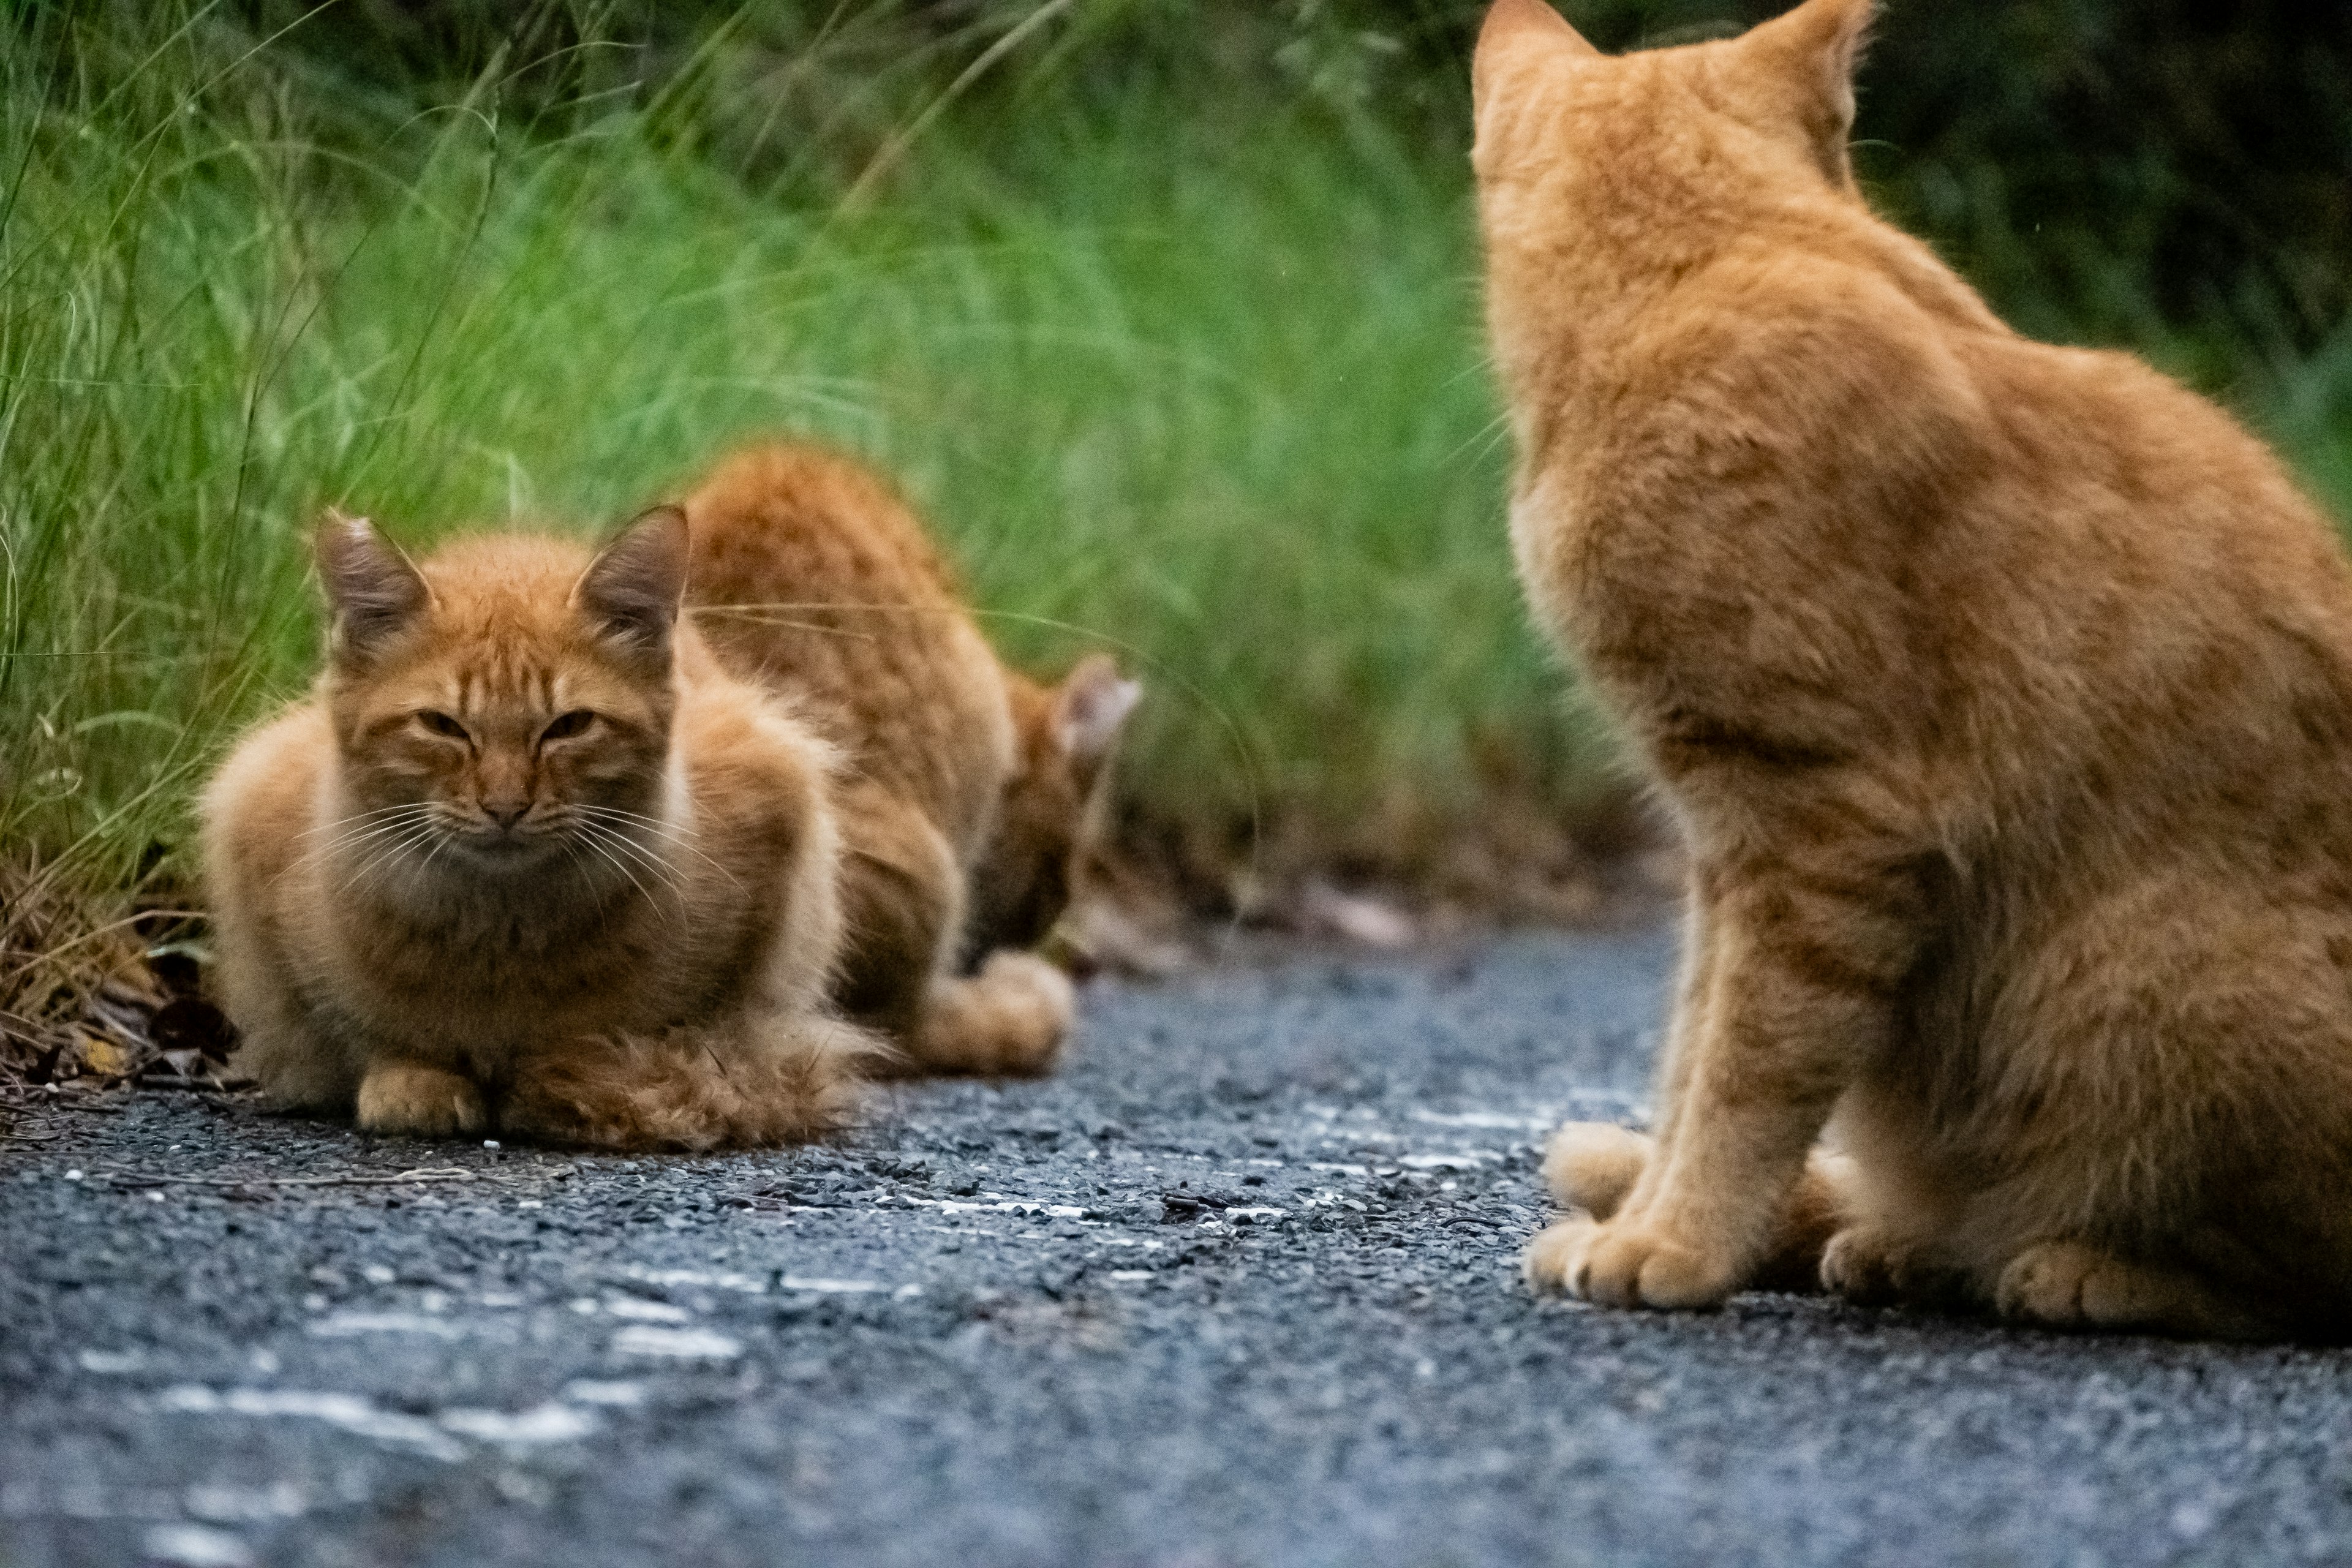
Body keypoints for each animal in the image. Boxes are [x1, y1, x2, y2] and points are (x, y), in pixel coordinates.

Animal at [1477, 0, 2352, 1344]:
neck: (1700, 272)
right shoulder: (1721, 853)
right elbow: (1689, 1052)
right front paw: (1658, 1216)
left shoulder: (1820, 828)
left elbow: (1748, 1071)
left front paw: (1678, 1243)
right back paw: (1898, 1243)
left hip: (2148, 988)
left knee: (2294, 1282)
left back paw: (2074, 1267)